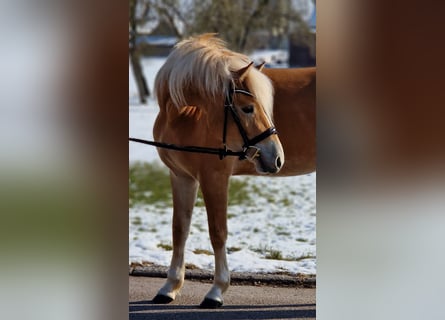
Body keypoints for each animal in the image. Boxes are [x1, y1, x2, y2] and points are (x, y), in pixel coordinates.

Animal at [151, 33, 314, 308]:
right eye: (248, 108)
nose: (277, 157)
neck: (185, 115)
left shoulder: (214, 177)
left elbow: (218, 232)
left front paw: (216, 291)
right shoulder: (181, 177)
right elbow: (179, 229)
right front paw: (169, 287)